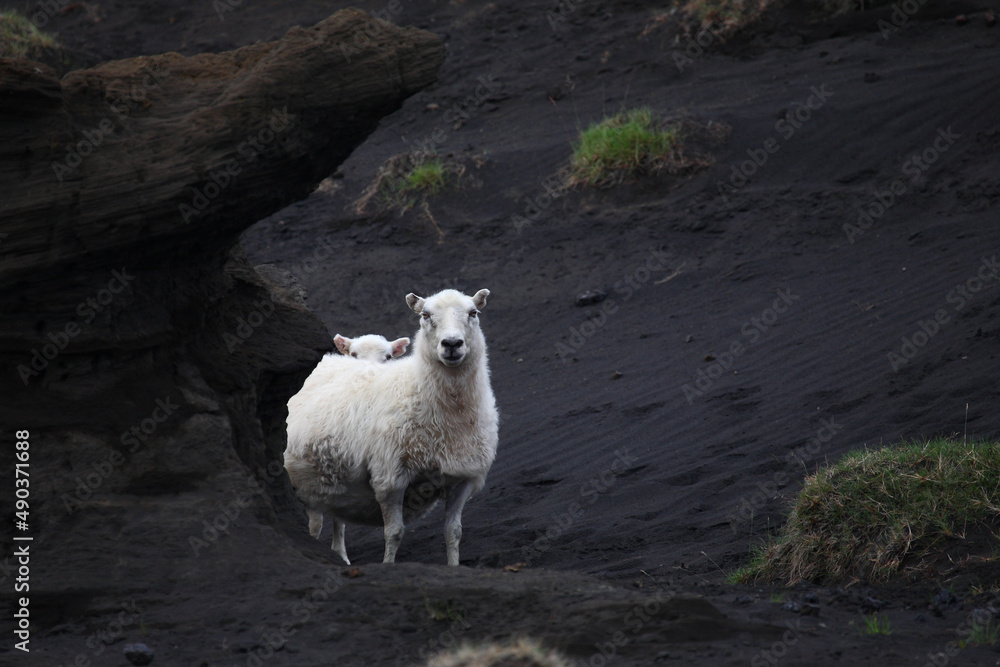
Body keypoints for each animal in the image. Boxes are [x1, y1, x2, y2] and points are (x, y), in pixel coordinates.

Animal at [284, 288, 498, 566]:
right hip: (306, 478)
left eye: (473, 313)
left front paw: (454, 567)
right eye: (425, 315)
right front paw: (388, 565)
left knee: (336, 518)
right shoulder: (390, 477)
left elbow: (454, 532)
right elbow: (394, 532)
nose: (452, 344)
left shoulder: (464, 478)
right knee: (315, 523)